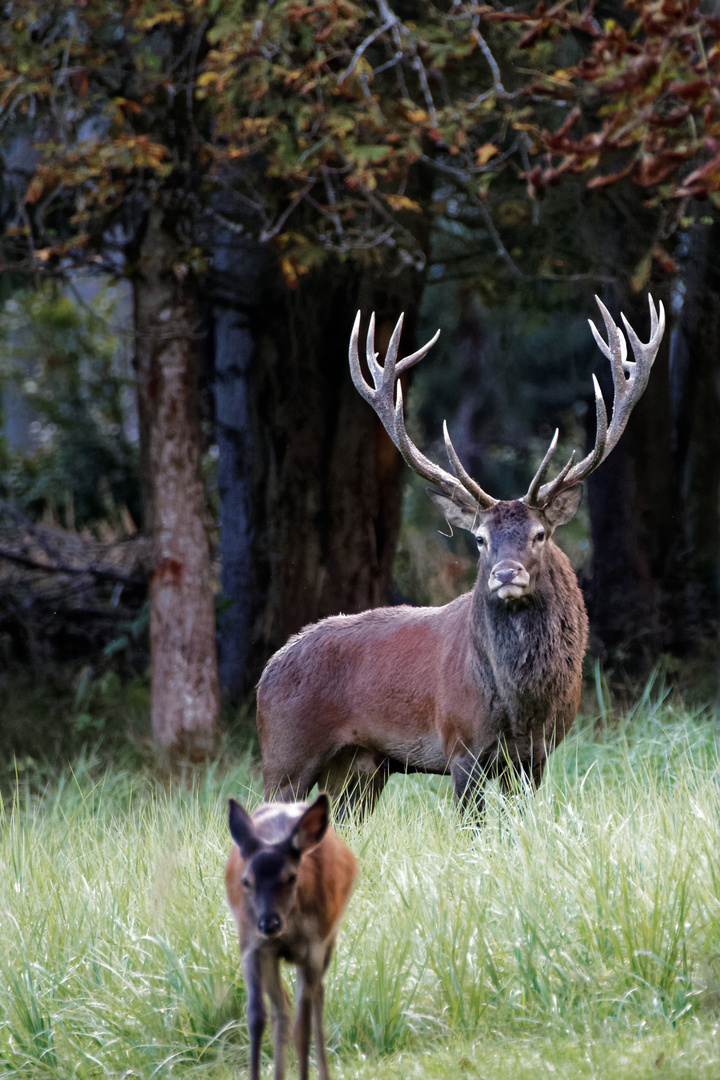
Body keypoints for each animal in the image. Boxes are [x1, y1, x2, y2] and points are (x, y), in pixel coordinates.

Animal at [225, 794, 358, 1080]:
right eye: (246, 881)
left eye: (291, 877)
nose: (269, 923)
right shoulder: (251, 944)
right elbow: (257, 1016)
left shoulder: (313, 946)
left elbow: (303, 1027)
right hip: (269, 953)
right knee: (282, 1011)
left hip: (328, 939)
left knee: (316, 996)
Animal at [257, 291, 664, 812]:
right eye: (480, 538)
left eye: (540, 534)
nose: (507, 574)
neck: (522, 707)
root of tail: (265, 675)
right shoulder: (461, 745)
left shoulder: (536, 756)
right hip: (284, 757)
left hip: (361, 770)